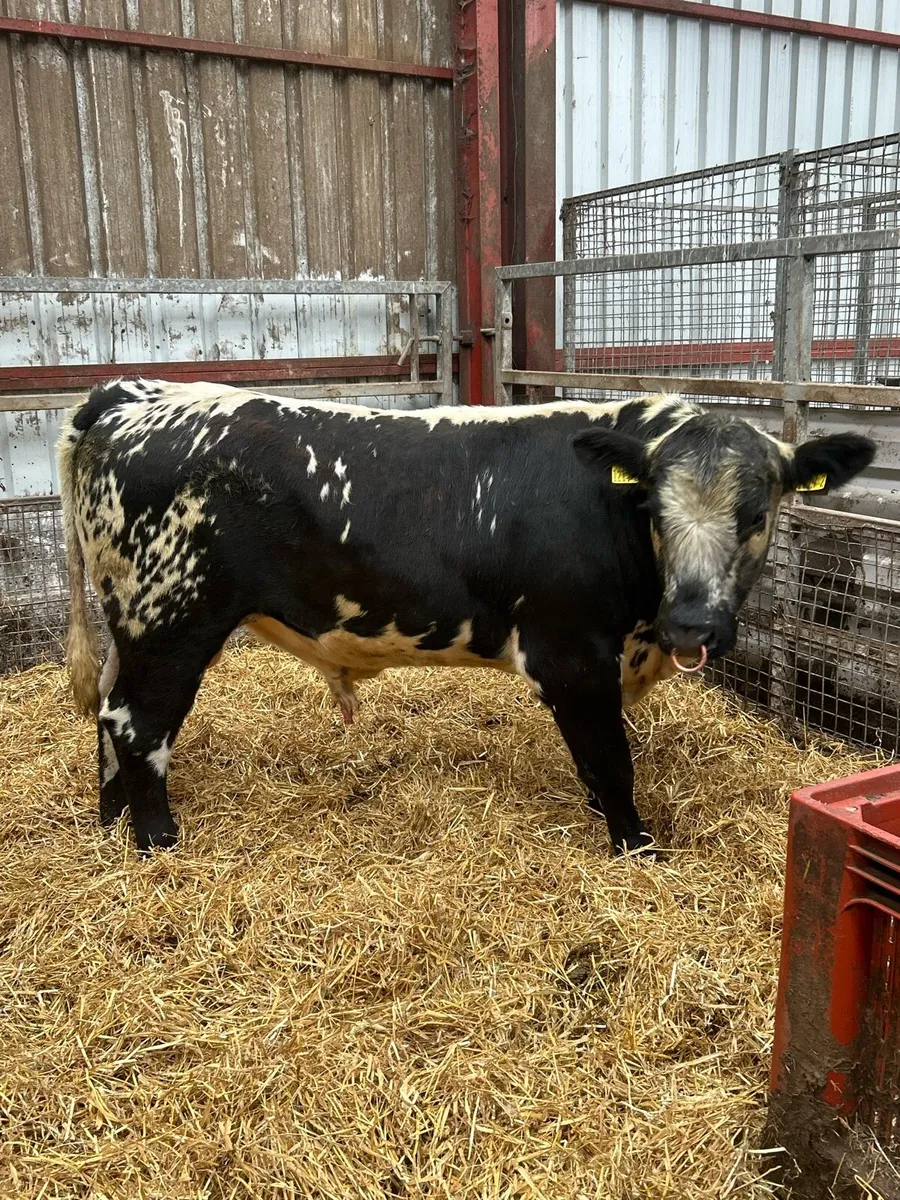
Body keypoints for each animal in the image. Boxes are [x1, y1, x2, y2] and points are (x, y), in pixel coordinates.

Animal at [58, 378, 874, 856]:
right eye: (651, 506)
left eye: (757, 513)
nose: (693, 627)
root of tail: (137, 395)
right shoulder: (570, 653)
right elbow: (611, 758)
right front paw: (635, 846)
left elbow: (596, 759)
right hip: (170, 618)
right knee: (138, 724)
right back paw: (155, 839)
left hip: (129, 619)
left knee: (106, 710)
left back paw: (109, 817)